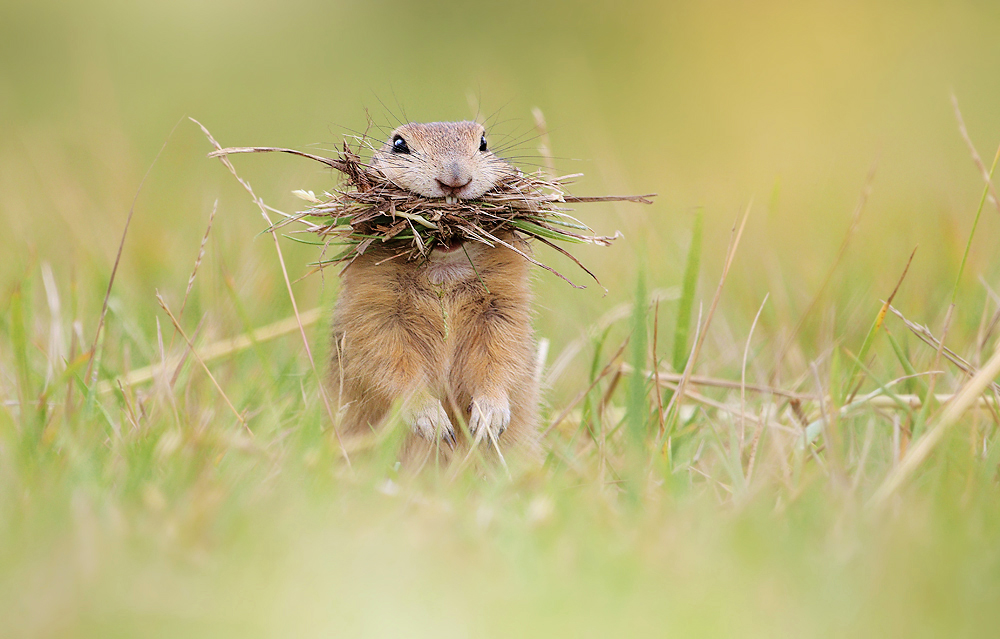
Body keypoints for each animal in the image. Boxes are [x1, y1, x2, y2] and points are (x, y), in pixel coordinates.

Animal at [332, 120, 540, 460]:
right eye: (399, 144)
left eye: (483, 143)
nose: (455, 179)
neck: (444, 269)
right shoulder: (375, 310)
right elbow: (389, 361)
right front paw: (433, 422)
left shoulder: (503, 308)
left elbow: (503, 358)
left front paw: (489, 418)